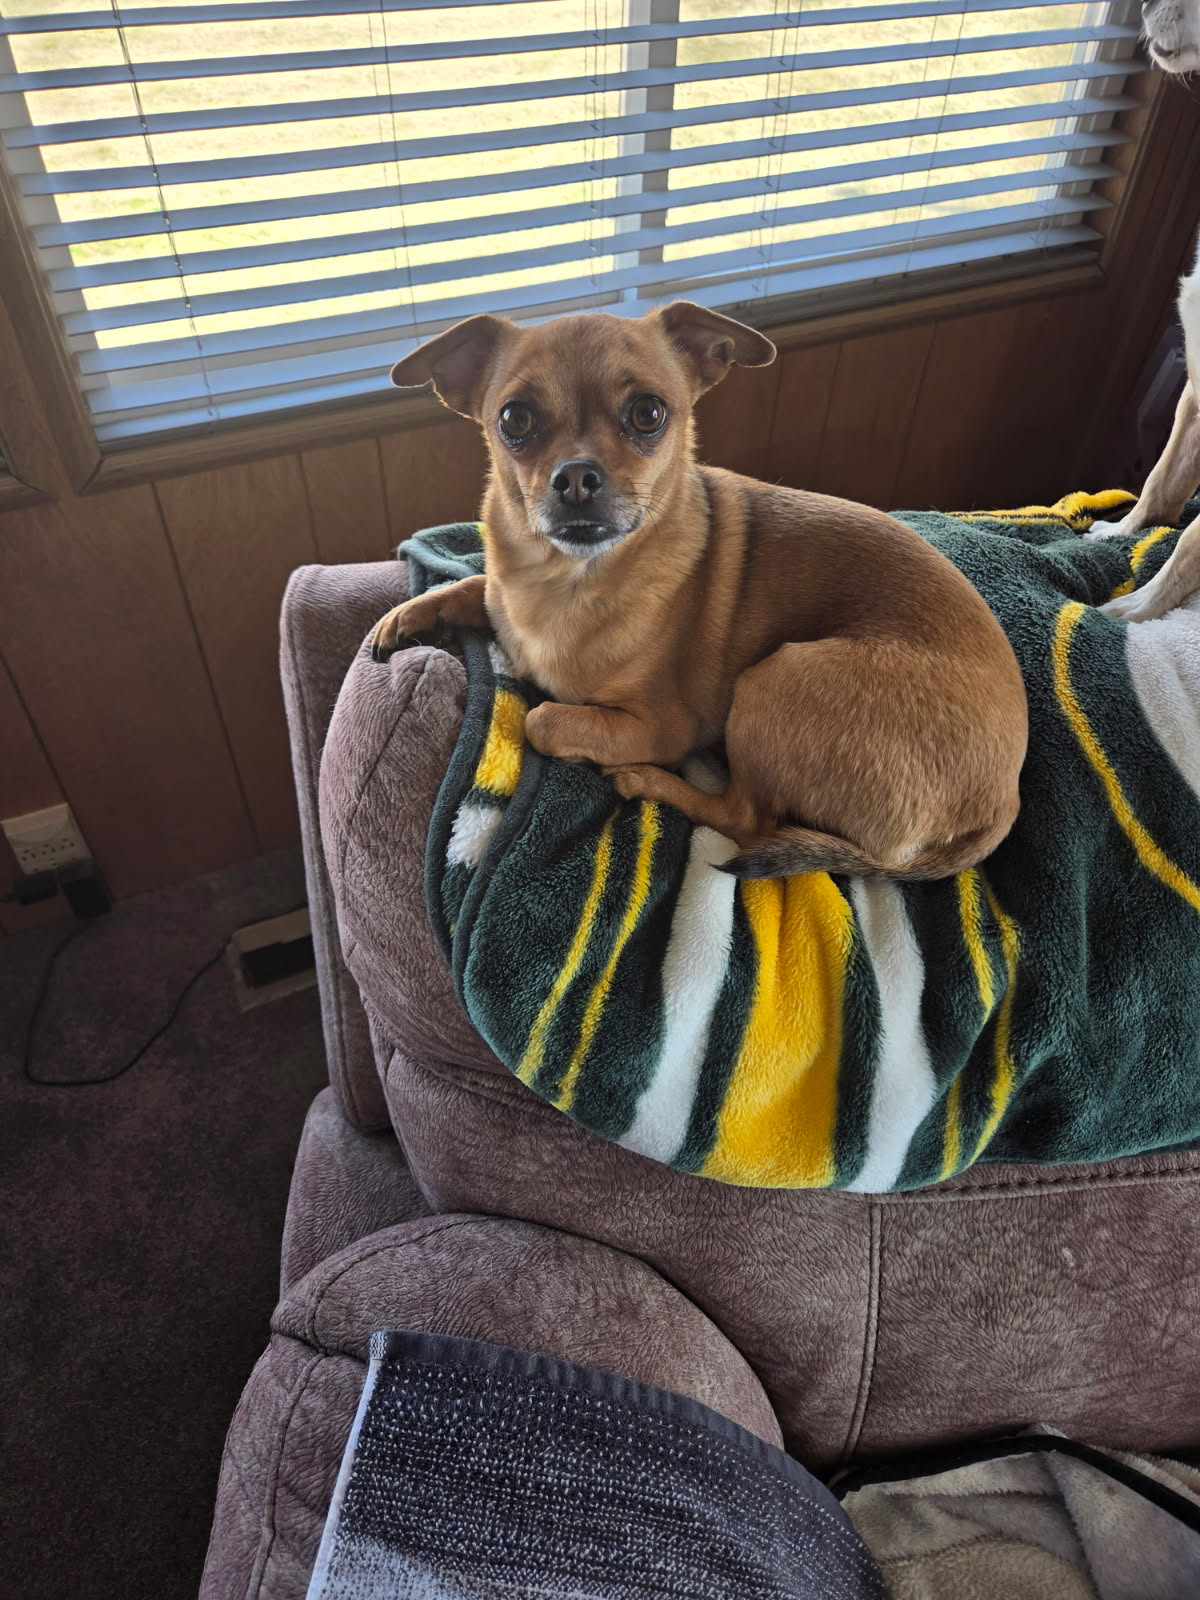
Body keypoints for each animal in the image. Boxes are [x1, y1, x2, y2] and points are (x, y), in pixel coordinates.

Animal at [371, 303, 1027, 879]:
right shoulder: (501, 592)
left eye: (648, 414)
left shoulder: (663, 727)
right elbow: (475, 584)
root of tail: (1000, 807)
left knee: (747, 818)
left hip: (778, 682)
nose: (577, 476)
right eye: (514, 420)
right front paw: (410, 613)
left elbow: (544, 718)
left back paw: (648, 782)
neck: (565, 581)